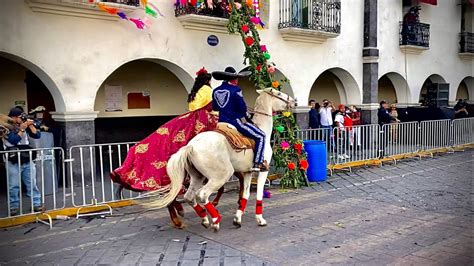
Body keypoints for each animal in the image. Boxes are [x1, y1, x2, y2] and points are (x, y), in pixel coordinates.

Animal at [162, 87, 296, 231]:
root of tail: (191, 145)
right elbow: (259, 194)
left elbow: (245, 194)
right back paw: (215, 219)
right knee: (202, 194)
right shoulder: (263, 170)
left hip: (197, 176)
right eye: (278, 93)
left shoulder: (247, 172)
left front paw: (237, 219)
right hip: (221, 176)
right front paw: (260, 219)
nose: (294, 102)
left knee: (189, 196)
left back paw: (204, 219)